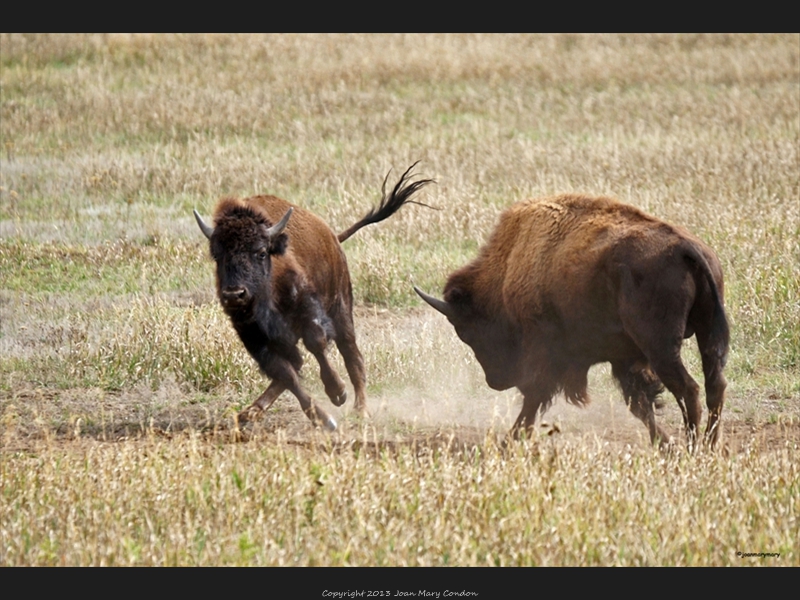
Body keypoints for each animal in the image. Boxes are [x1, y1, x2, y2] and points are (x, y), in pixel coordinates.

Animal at [195, 162, 432, 428]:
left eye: (261, 252)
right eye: (218, 256)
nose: (235, 294)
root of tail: (332, 237)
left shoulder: (309, 312)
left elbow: (316, 345)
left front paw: (338, 392)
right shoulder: (255, 338)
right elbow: (287, 374)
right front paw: (324, 419)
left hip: (342, 310)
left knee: (353, 357)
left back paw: (360, 409)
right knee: (297, 366)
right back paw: (251, 411)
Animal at [416, 195, 728, 448]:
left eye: (467, 333)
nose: (496, 381)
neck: (509, 265)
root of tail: (686, 248)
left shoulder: (545, 351)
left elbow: (534, 394)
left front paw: (511, 440)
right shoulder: (623, 358)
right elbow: (639, 404)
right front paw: (663, 444)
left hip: (661, 348)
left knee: (689, 390)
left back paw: (693, 448)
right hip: (705, 335)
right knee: (714, 386)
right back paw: (708, 446)